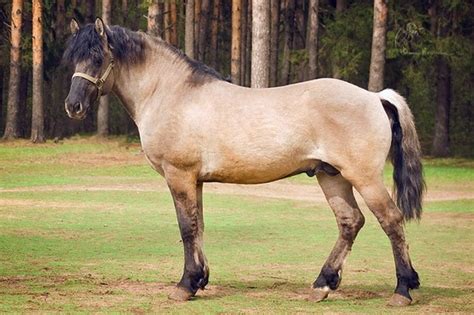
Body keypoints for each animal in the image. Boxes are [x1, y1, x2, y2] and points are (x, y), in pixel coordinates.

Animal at [64, 18, 426, 308]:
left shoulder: (179, 175)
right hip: (332, 176)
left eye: (97, 57)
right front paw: (199, 280)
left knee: (391, 220)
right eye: (74, 58)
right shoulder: (195, 180)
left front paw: (185, 286)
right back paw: (322, 285)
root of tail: (376, 97)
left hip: (364, 177)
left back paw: (402, 290)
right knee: (350, 222)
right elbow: (198, 226)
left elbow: (186, 227)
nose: (73, 106)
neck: (172, 94)